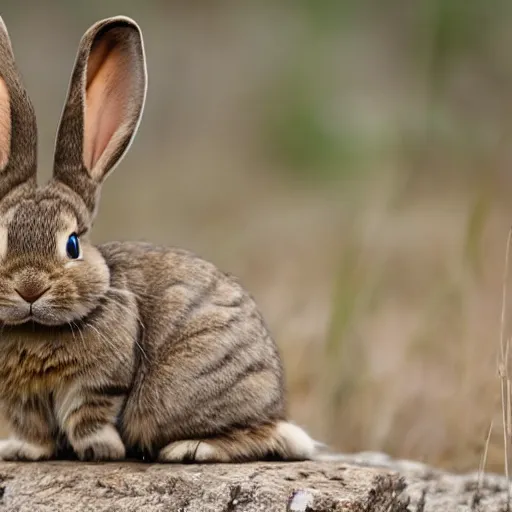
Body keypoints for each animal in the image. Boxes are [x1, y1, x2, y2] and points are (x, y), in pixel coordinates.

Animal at [0, 16, 320, 464]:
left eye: (73, 245)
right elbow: (32, 430)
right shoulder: (19, 399)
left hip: (187, 394)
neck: (36, 328)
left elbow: (87, 416)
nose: (30, 288)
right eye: (0, 238)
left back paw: (192, 449)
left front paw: (101, 450)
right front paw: (19, 451)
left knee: (263, 437)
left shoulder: (100, 383)